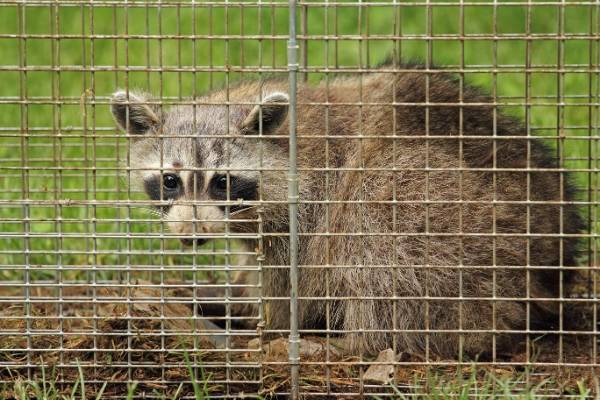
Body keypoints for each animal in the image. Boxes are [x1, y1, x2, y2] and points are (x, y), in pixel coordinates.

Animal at [111, 66, 584, 360]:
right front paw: (230, 298)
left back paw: (348, 345)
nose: (192, 234)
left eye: (221, 182)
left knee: (371, 231)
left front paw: (268, 327)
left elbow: (289, 286)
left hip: (464, 222)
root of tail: (552, 268)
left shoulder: (307, 214)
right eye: (170, 181)